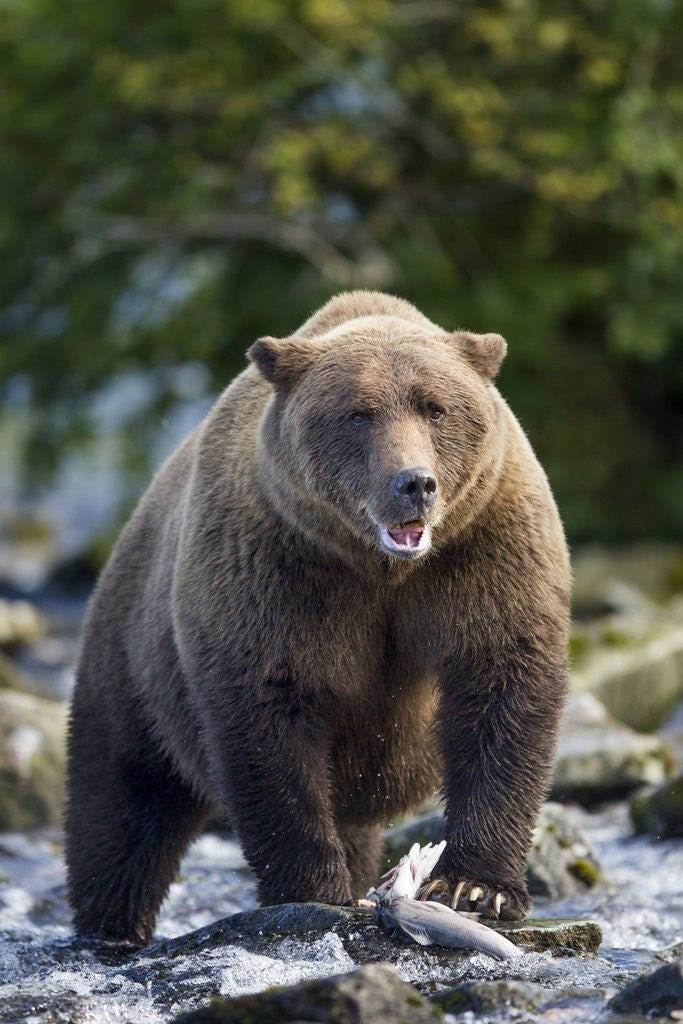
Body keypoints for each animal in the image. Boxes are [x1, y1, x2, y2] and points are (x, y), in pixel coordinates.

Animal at [65, 290, 570, 946]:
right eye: (359, 413)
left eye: (436, 408)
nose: (415, 483)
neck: (379, 567)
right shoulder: (276, 573)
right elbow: (269, 719)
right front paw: (313, 888)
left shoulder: (484, 550)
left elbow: (502, 689)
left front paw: (476, 886)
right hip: (132, 661)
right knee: (122, 805)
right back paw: (110, 924)